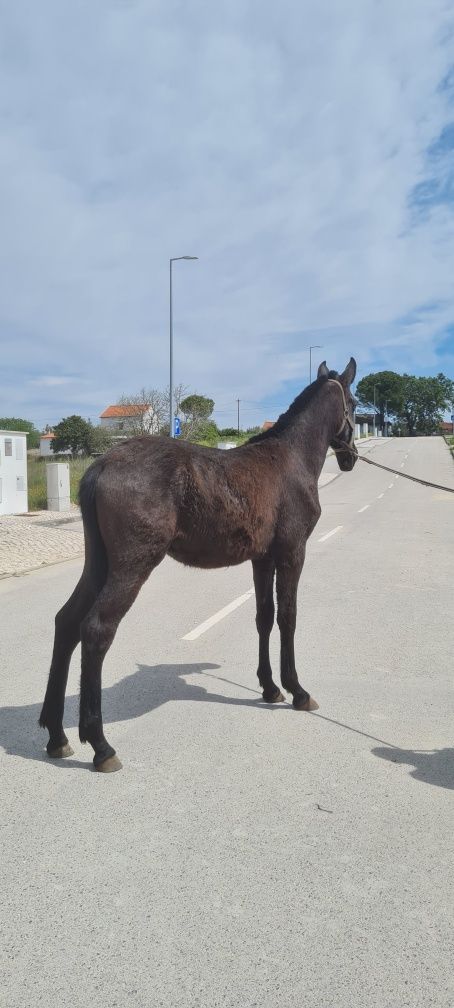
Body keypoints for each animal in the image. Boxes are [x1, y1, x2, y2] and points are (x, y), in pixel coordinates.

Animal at [39, 356, 359, 770]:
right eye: (354, 403)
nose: (351, 458)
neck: (290, 459)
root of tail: (101, 466)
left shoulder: (262, 560)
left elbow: (264, 617)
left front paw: (270, 687)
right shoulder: (292, 553)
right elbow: (288, 617)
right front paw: (297, 691)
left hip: (99, 564)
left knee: (66, 623)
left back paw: (57, 735)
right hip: (132, 566)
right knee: (95, 630)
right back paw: (100, 744)